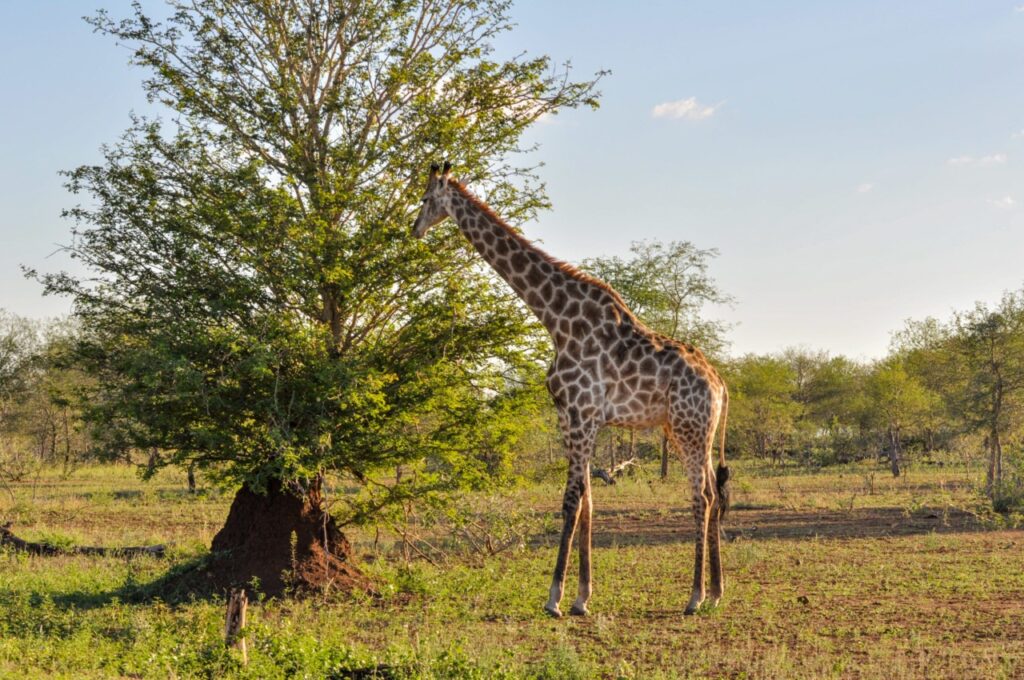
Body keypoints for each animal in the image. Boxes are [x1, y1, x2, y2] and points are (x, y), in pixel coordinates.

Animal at [412, 162, 731, 617]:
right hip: (692, 429)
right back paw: (717, 592)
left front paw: (554, 598)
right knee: (713, 494)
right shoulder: (570, 416)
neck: (556, 318)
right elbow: (588, 500)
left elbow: (570, 499)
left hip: (690, 428)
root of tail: (721, 384)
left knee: (701, 497)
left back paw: (695, 597)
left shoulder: (581, 413)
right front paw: (582, 597)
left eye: (423, 199)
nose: (414, 229)